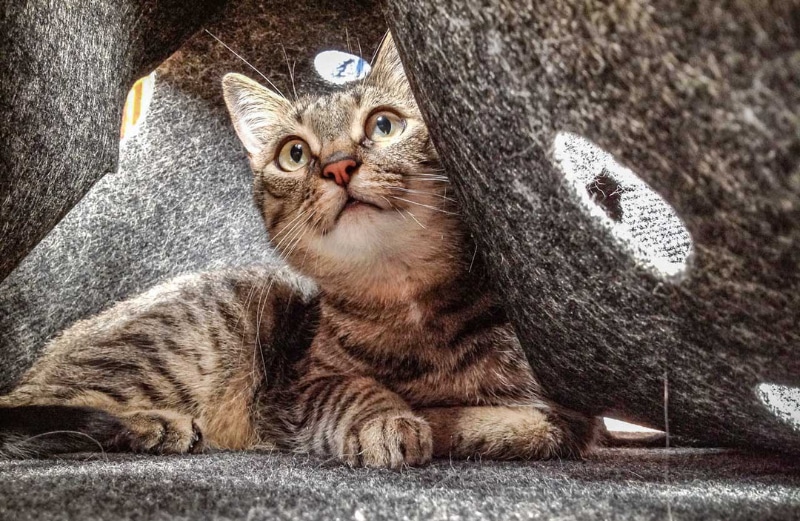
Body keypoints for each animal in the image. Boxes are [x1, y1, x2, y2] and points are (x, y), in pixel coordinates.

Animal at [0, 32, 596, 466]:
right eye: (293, 154)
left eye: (384, 124)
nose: (337, 165)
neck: (405, 302)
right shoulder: (293, 389)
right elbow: (352, 387)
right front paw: (391, 417)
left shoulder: (569, 410)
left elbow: (538, 426)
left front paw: (442, 417)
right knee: (35, 406)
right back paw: (153, 424)